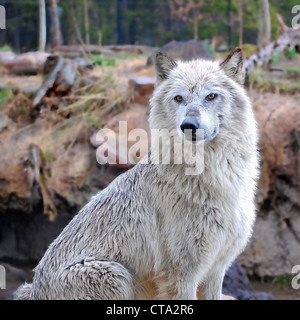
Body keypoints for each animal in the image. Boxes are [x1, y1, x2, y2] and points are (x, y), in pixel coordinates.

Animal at [14, 48, 258, 300]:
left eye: (210, 96)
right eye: (179, 98)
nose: (189, 125)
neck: (217, 178)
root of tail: (33, 291)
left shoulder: (215, 271)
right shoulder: (182, 275)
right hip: (116, 275)